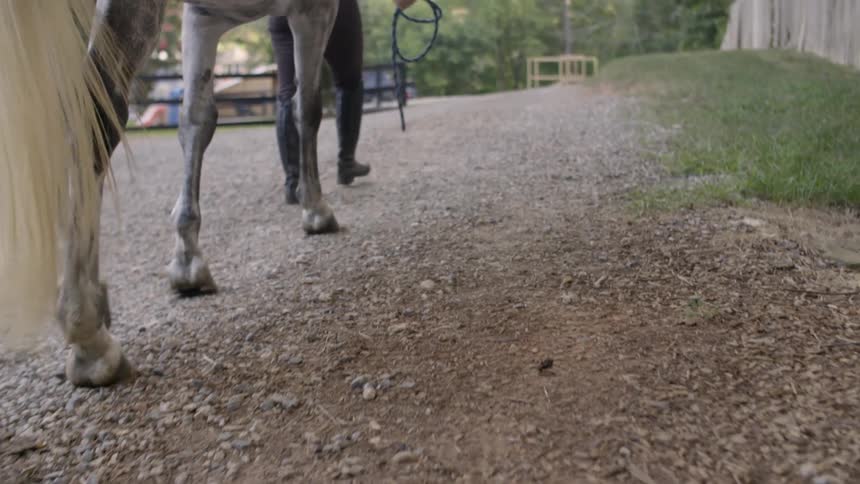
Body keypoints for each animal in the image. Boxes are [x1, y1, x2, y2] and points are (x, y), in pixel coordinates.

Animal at [0, 0, 341, 387]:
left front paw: (187, 259)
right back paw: (90, 336)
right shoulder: (313, 10)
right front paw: (315, 209)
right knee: (94, 119)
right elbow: (307, 108)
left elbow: (197, 119)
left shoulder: (205, 16)